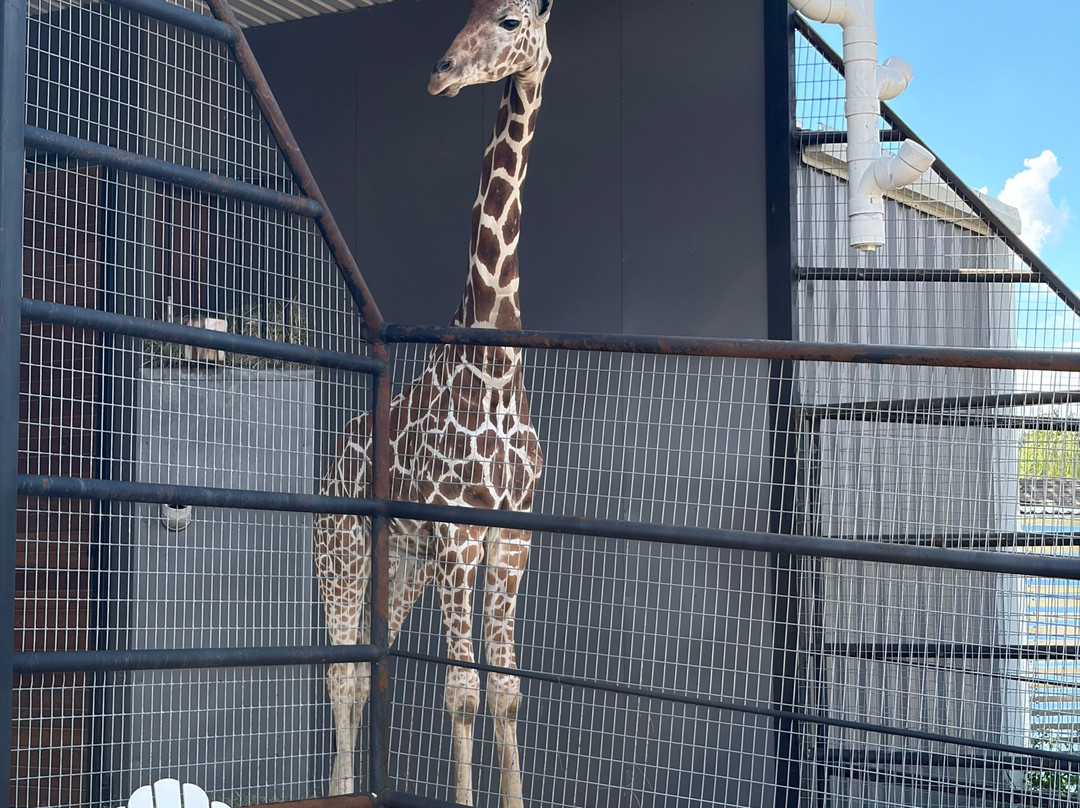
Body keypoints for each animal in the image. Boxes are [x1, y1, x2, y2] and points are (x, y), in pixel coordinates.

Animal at [313, 1, 552, 805]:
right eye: (464, 12)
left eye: (508, 19)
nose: (441, 74)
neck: (496, 364)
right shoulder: (458, 537)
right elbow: (462, 694)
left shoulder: (510, 543)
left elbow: (506, 692)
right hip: (343, 552)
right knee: (341, 672)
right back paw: (338, 788)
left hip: (402, 563)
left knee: (365, 669)